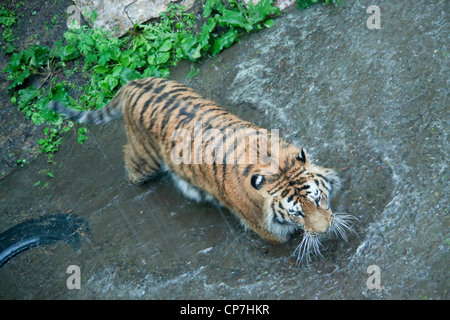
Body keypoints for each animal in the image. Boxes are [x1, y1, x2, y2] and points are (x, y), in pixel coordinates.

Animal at [48, 77, 352, 262]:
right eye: (296, 213)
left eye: (317, 199)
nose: (326, 231)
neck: (273, 164)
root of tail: (133, 82)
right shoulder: (267, 228)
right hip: (144, 159)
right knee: (129, 162)